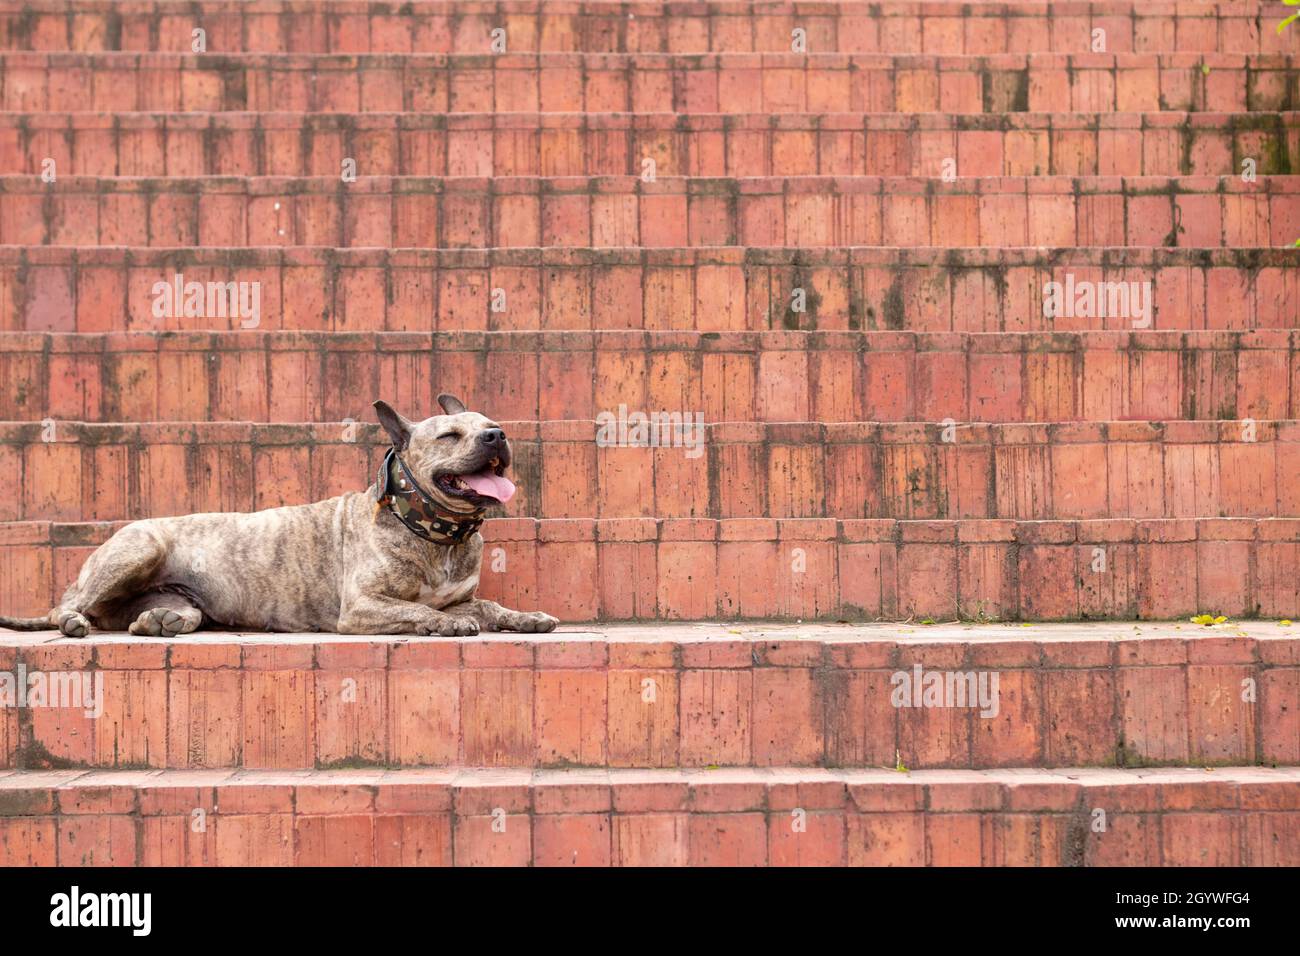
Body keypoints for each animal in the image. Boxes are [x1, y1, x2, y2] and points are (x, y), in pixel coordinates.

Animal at [0, 392, 559, 639]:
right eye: (449, 435)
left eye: (491, 424)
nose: (498, 435)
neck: (439, 533)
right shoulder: (361, 607)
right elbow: (421, 611)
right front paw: (444, 626)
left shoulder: (461, 596)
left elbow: (489, 606)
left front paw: (524, 617)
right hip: (140, 548)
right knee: (68, 607)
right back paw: (72, 620)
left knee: (138, 616)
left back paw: (159, 620)